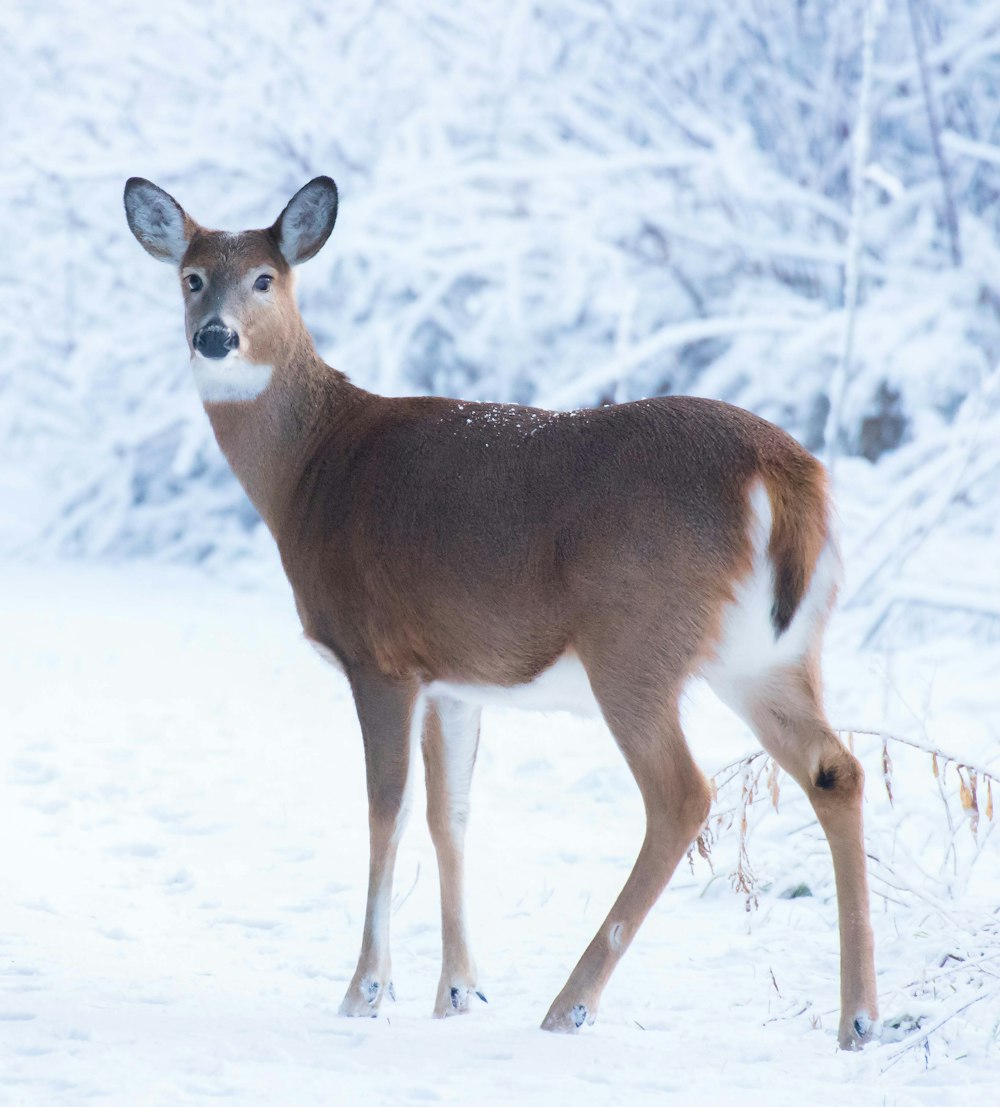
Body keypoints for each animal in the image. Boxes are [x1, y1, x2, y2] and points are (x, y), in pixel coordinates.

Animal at [122, 172, 877, 1045]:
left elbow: (387, 808)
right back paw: (861, 1019)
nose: (215, 336)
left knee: (682, 793)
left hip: (636, 640)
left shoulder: (378, 656)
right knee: (836, 769)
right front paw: (457, 990)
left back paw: (571, 1002)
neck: (311, 470)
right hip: (772, 652)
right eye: (192, 277)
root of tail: (783, 471)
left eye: (265, 279)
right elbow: (451, 813)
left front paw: (365, 990)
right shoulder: (451, 677)